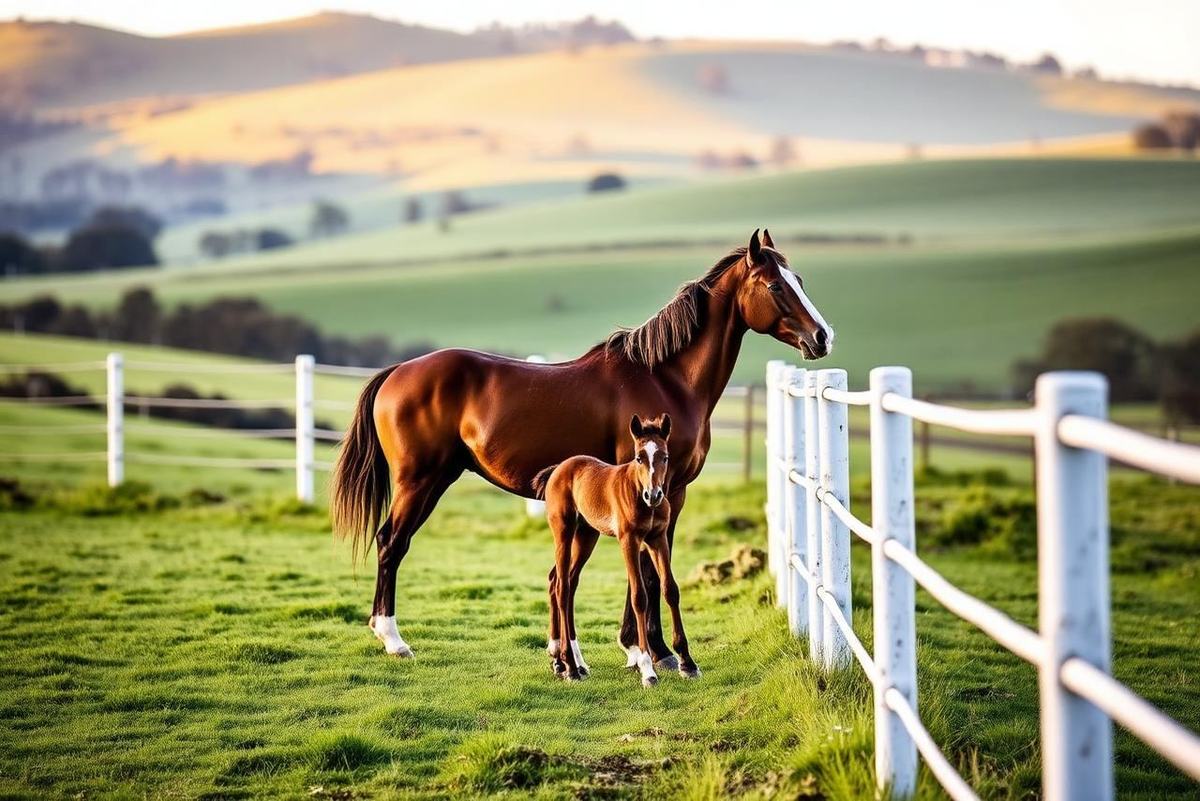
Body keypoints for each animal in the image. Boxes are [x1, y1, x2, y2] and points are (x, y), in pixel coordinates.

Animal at [532, 413, 691, 687]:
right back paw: (569, 666)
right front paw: (647, 669)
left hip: (586, 535)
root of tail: (559, 468)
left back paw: (573, 662)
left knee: (566, 583)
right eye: (639, 457)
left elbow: (670, 589)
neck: (639, 491)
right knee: (562, 587)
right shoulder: (629, 540)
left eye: (665, 457)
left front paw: (688, 663)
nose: (654, 495)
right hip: (563, 530)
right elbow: (639, 596)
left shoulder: (657, 538)